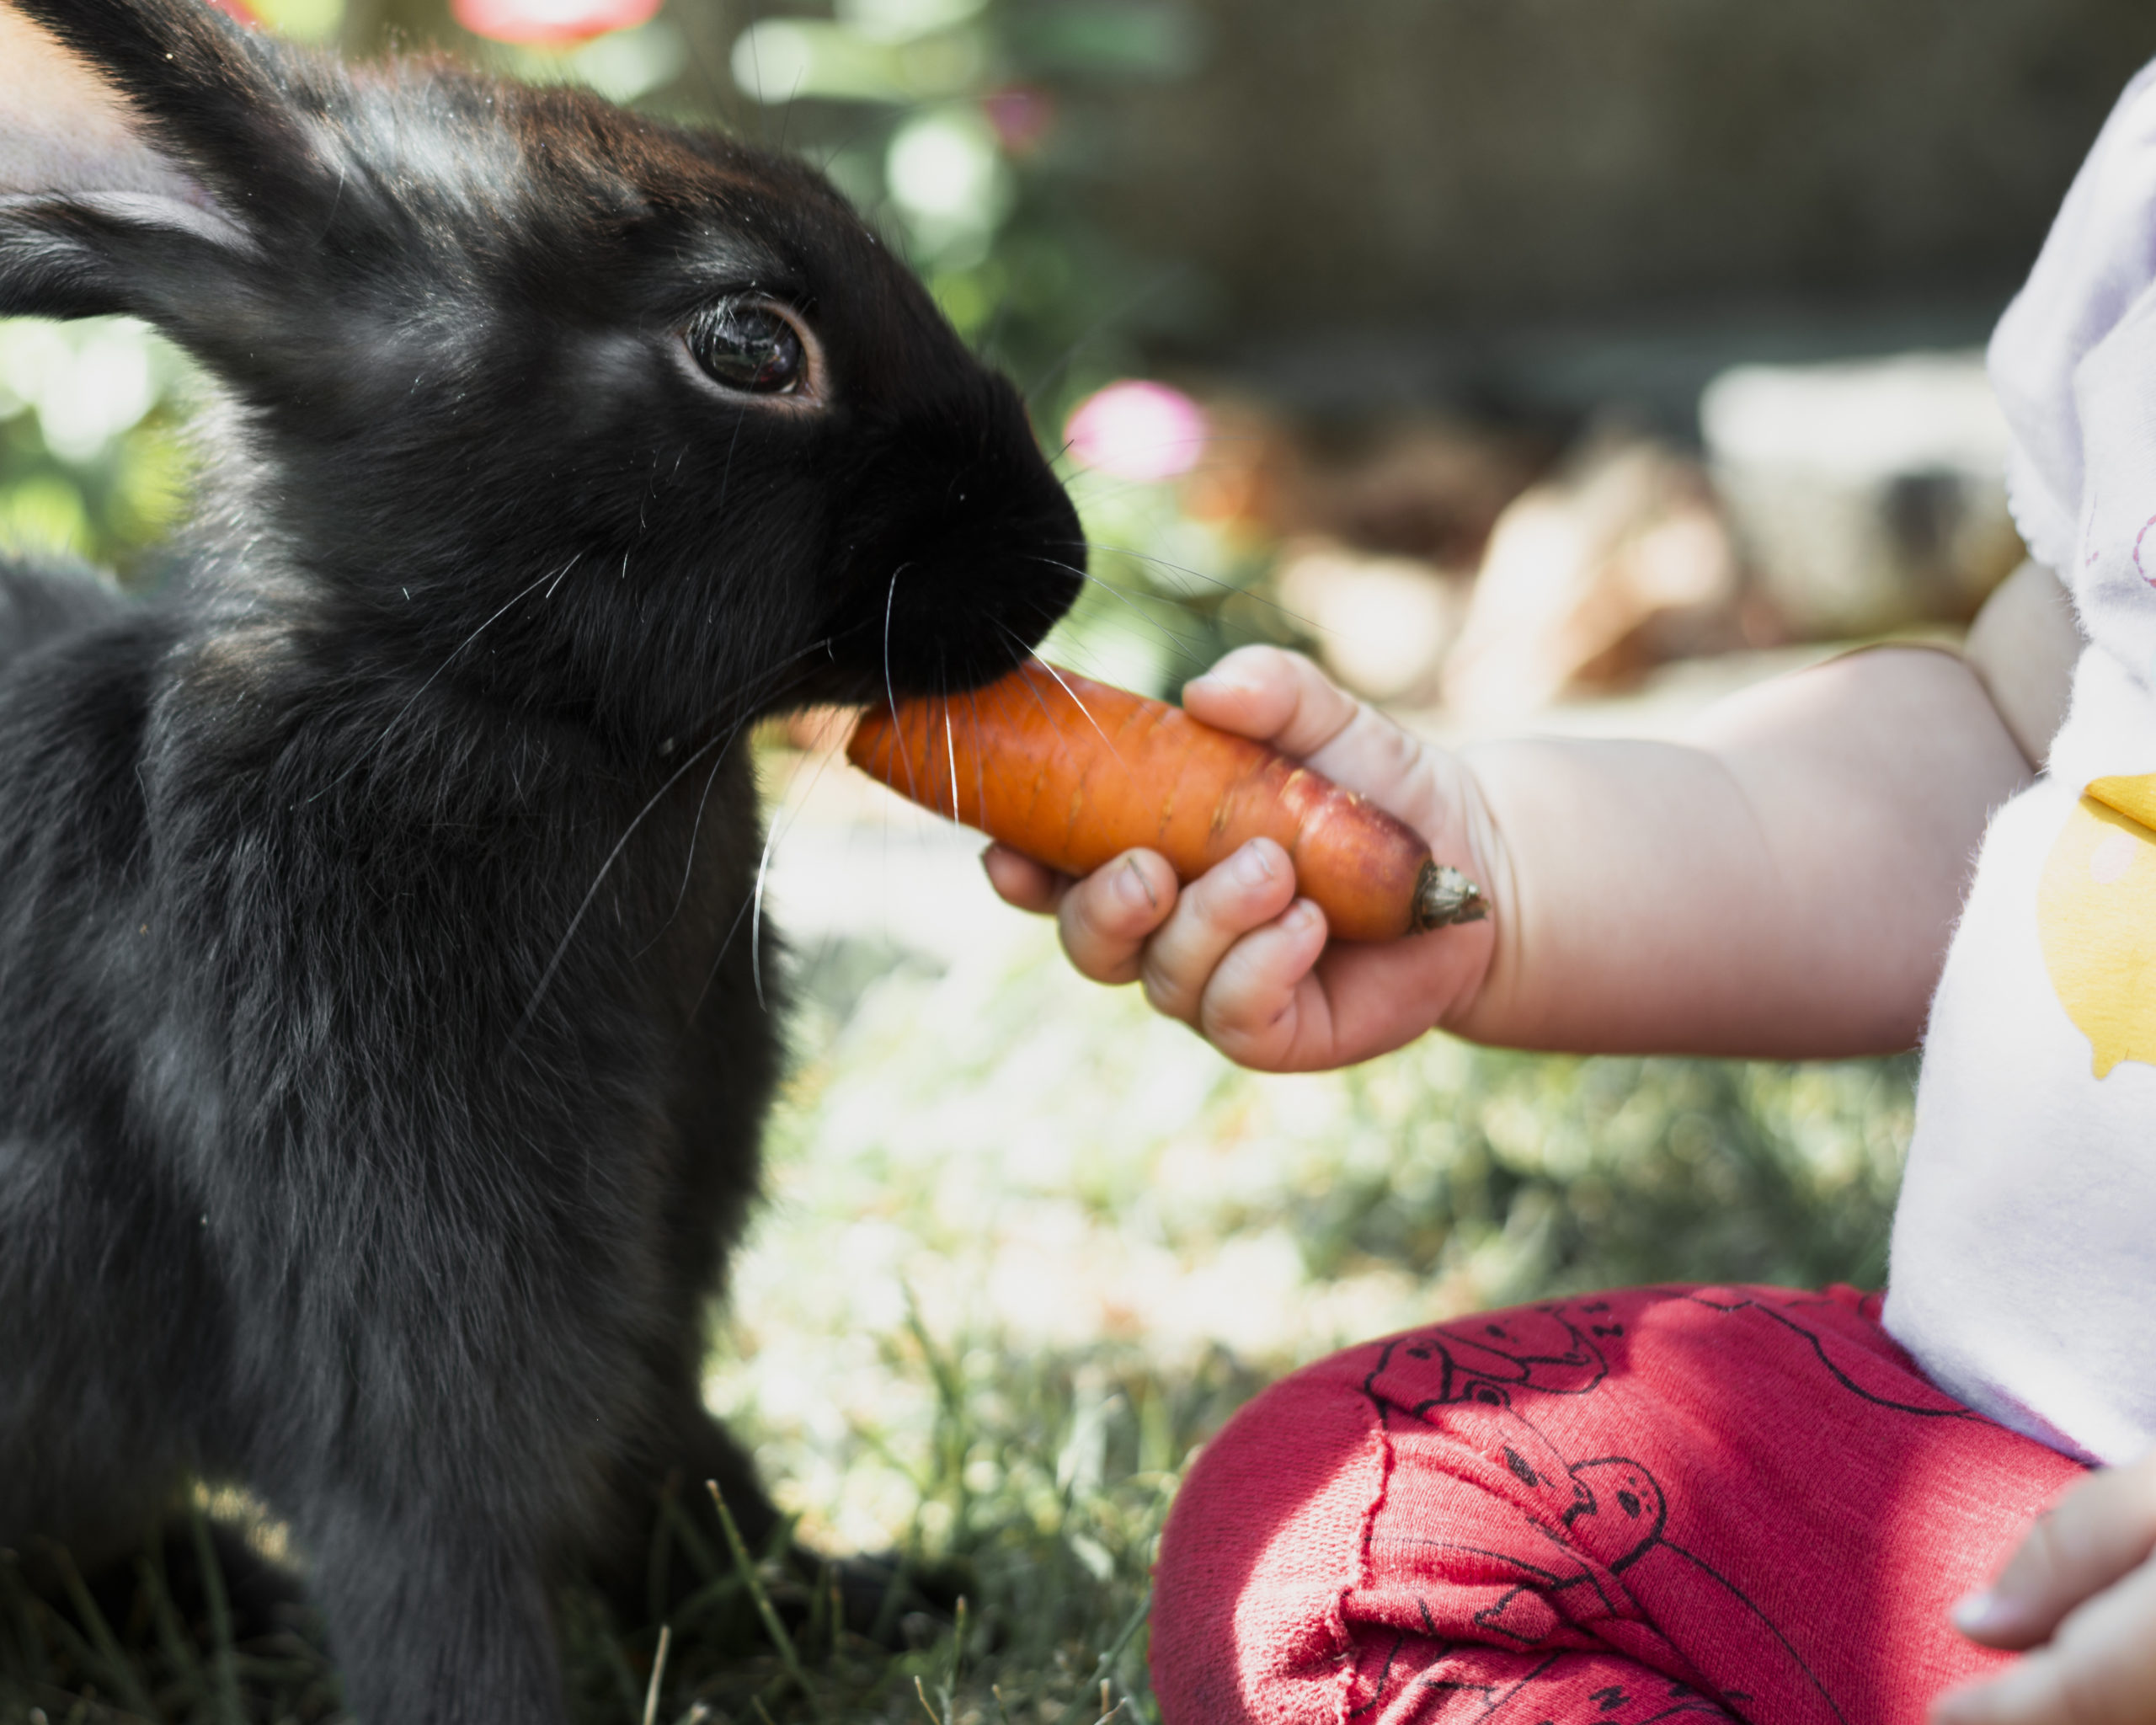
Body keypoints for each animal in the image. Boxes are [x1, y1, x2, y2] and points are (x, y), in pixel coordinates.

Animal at [0, 0, 1078, 1716]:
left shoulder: (651, 1290)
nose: (1063, 557)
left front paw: (858, 1602)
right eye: (750, 344)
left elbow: (678, 1458)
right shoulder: (410, 1347)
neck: (487, 699)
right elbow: (440, 1573)